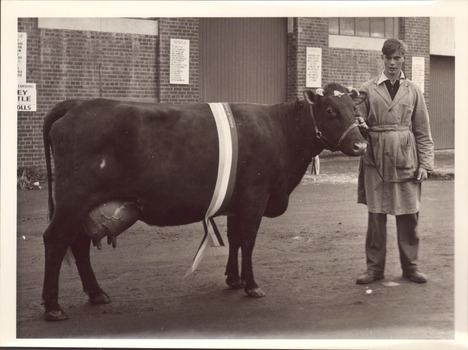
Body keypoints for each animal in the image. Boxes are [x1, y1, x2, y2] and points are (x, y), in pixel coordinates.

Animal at [42, 82, 368, 320]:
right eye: (330, 110)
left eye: (354, 109)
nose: (360, 145)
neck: (279, 131)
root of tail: (76, 103)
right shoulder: (255, 196)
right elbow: (248, 240)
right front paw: (252, 285)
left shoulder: (238, 200)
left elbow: (235, 239)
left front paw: (234, 279)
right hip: (74, 200)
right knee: (56, 241)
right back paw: (53, 307)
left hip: (83, 205)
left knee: (78, 244)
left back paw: (96, 294)